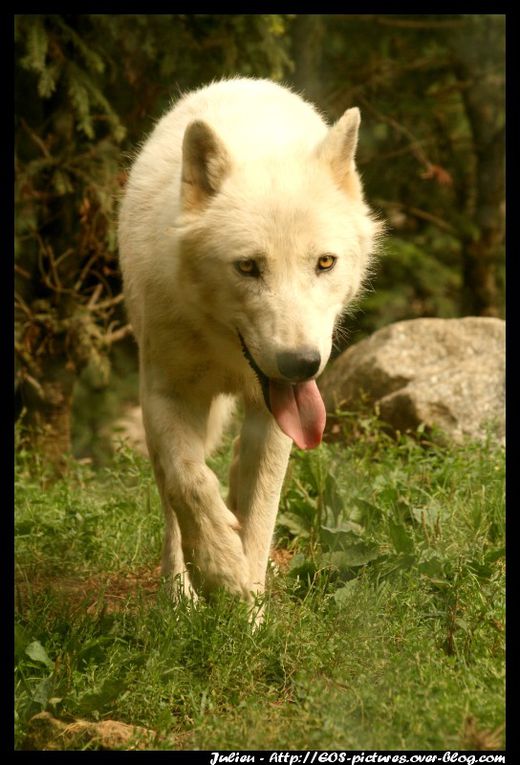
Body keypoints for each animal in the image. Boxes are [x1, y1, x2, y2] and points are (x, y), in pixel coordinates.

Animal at [118, 77, 380, 604]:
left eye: (324, 262)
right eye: (247, 267)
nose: (301, 363)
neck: (226, 355)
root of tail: (245, 82)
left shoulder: (274, 418)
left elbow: (259, 517)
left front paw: (247, 607)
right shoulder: (164, 393)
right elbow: (190, 483)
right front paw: (219, 571)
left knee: (239, 476)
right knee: (173, 499)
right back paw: (178, 595)